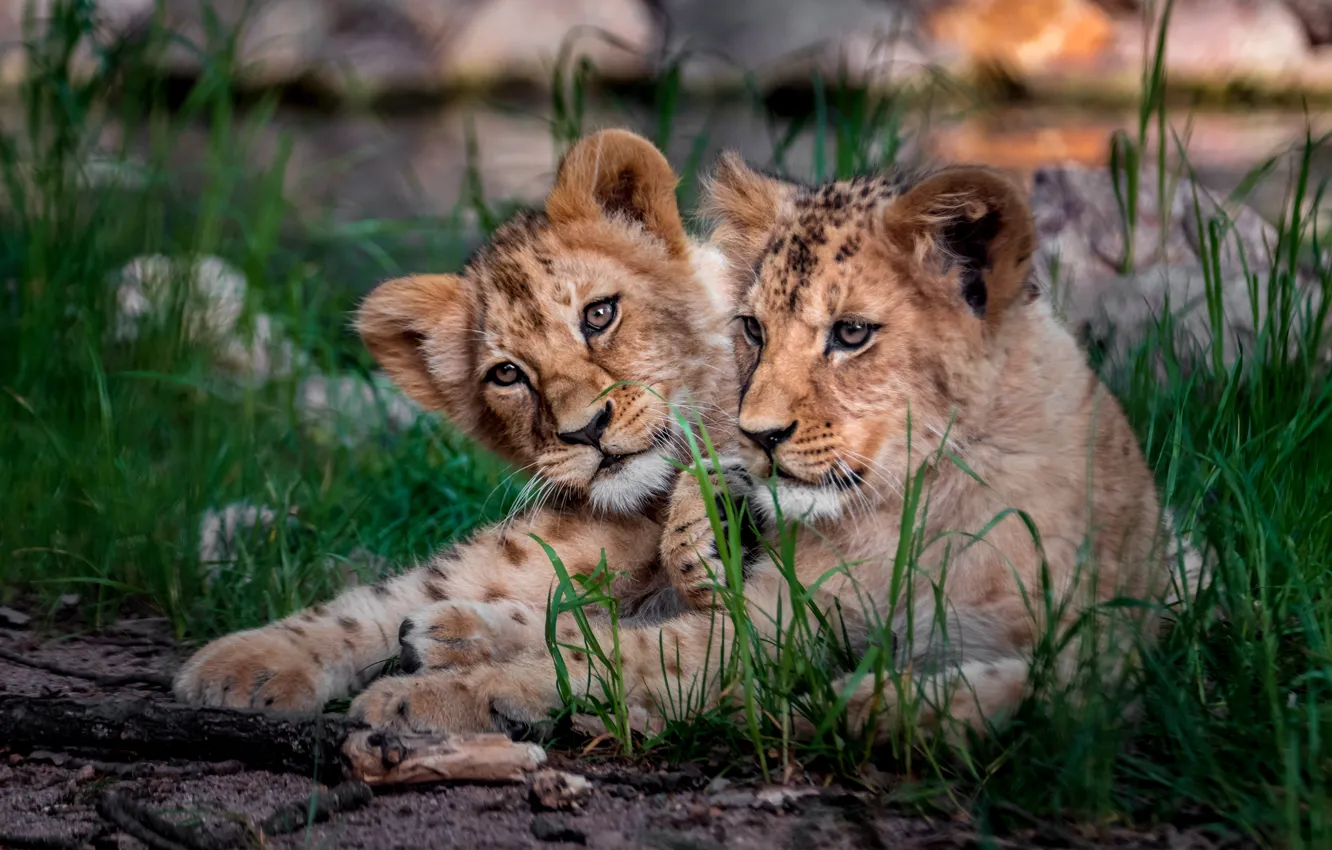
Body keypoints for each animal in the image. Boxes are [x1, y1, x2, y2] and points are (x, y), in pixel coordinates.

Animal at [172, 128, 758, 714]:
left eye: (599, 314)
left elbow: (624, 658)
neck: (651, 501)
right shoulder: (536, 548)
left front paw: (423, 700)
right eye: (507, 374)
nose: (585, 430)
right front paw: (246, 661)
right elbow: (389, 596)